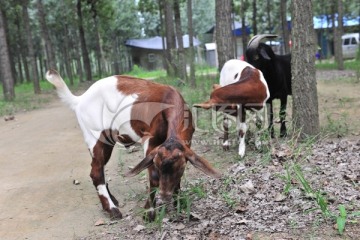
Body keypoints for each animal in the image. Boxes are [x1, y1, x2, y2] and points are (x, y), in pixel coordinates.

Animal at [45, 69, 219, 219]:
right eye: (158, 165)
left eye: (181, 167)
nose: (165, 195)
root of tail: (80, 99)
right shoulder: (150, 139)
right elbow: (152, 177)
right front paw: (149, 213)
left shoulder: (187, 141)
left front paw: (179, 205)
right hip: (94, 136)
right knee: (96, 171)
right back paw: (112, 210)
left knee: (99, 168)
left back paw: (112, 201)